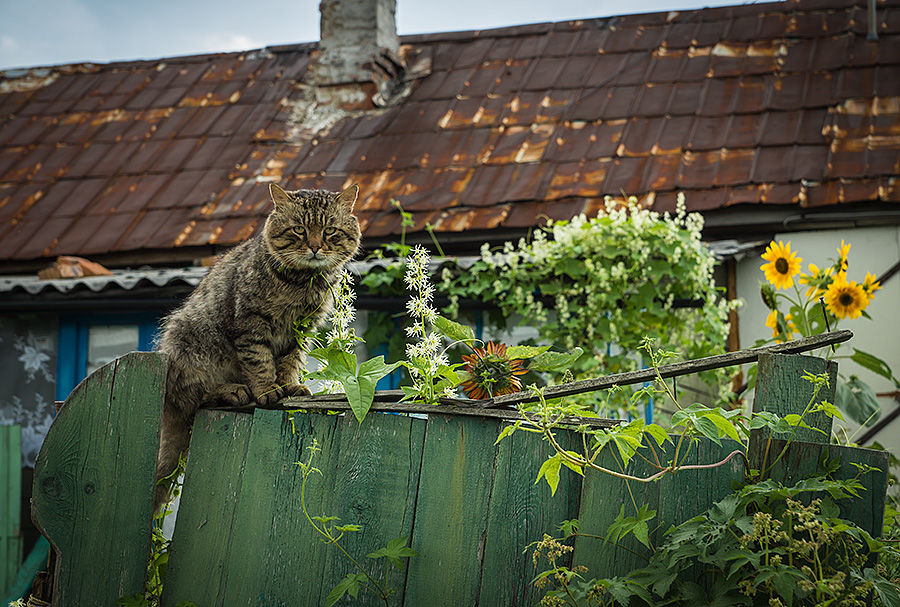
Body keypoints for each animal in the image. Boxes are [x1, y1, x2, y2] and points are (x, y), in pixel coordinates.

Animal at [155, 183, 362, 510]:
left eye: (329, 230)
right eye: (300, 230)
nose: (315, 247)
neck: (301, 283)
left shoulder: (301, 330)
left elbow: (291, 361)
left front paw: (289, 386)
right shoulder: (251, 323)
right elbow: (260, 362)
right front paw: (266, 389)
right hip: (188, 344)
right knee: (197, 394)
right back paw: (233, 390)